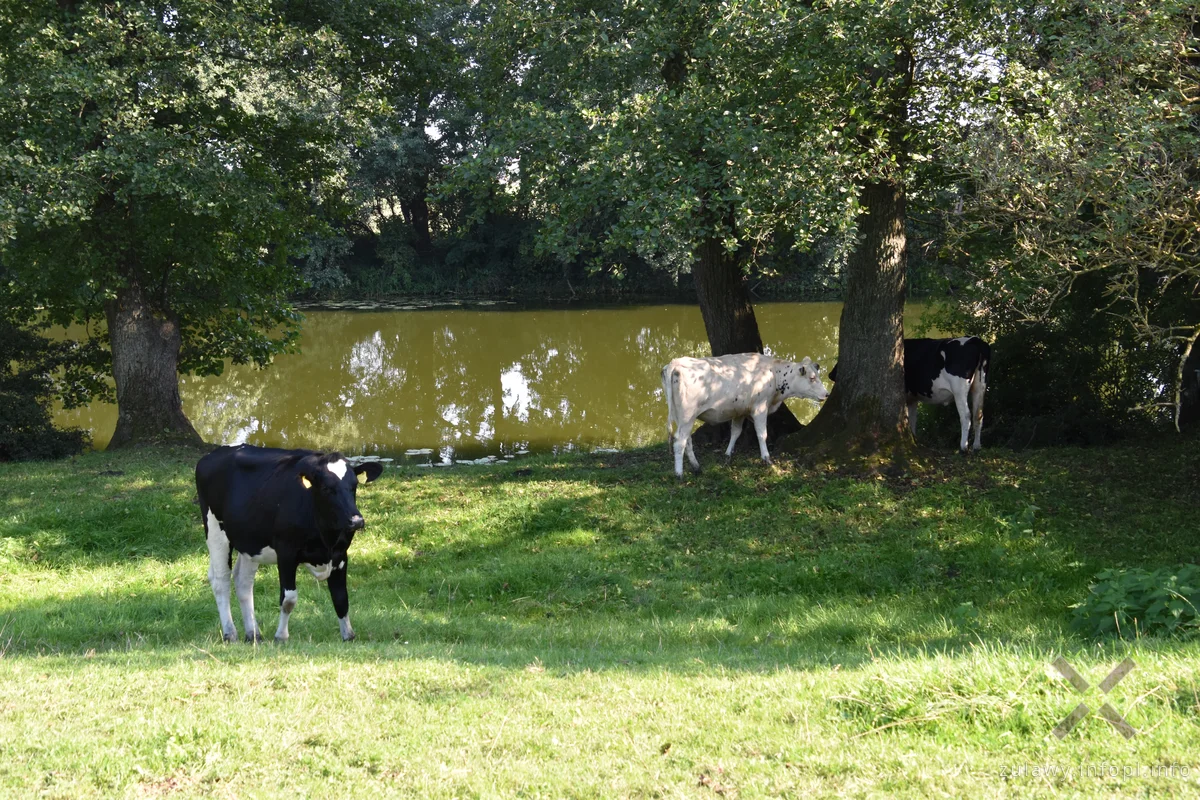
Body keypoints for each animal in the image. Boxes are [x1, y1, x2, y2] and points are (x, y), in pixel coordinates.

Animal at [196, 443, 381, 642]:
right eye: (326, 488)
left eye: (354, 486)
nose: (356, 521)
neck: (325, 538)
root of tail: (216, 453)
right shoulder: (286, 553)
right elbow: (289, 599)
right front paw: (281, 636)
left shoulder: (340, 555)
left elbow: (341, 598)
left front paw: (348, 635)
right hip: (215, 529)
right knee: (221, 579)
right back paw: (230, 634)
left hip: (250, 542)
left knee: (243, 581)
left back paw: (254, 634)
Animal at [662, 352, 830, 474]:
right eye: (812, 378)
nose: (827, 394)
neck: (773, 373)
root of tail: (675, 362)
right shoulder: (760, 407)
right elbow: (762, 434)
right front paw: (766, 458)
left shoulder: (740, 411)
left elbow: (735, 432)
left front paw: (728, 454)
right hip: (687, 416)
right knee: (679, 442)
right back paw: (679, 474)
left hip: (682, 417)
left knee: (687, 440)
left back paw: (696, 467)